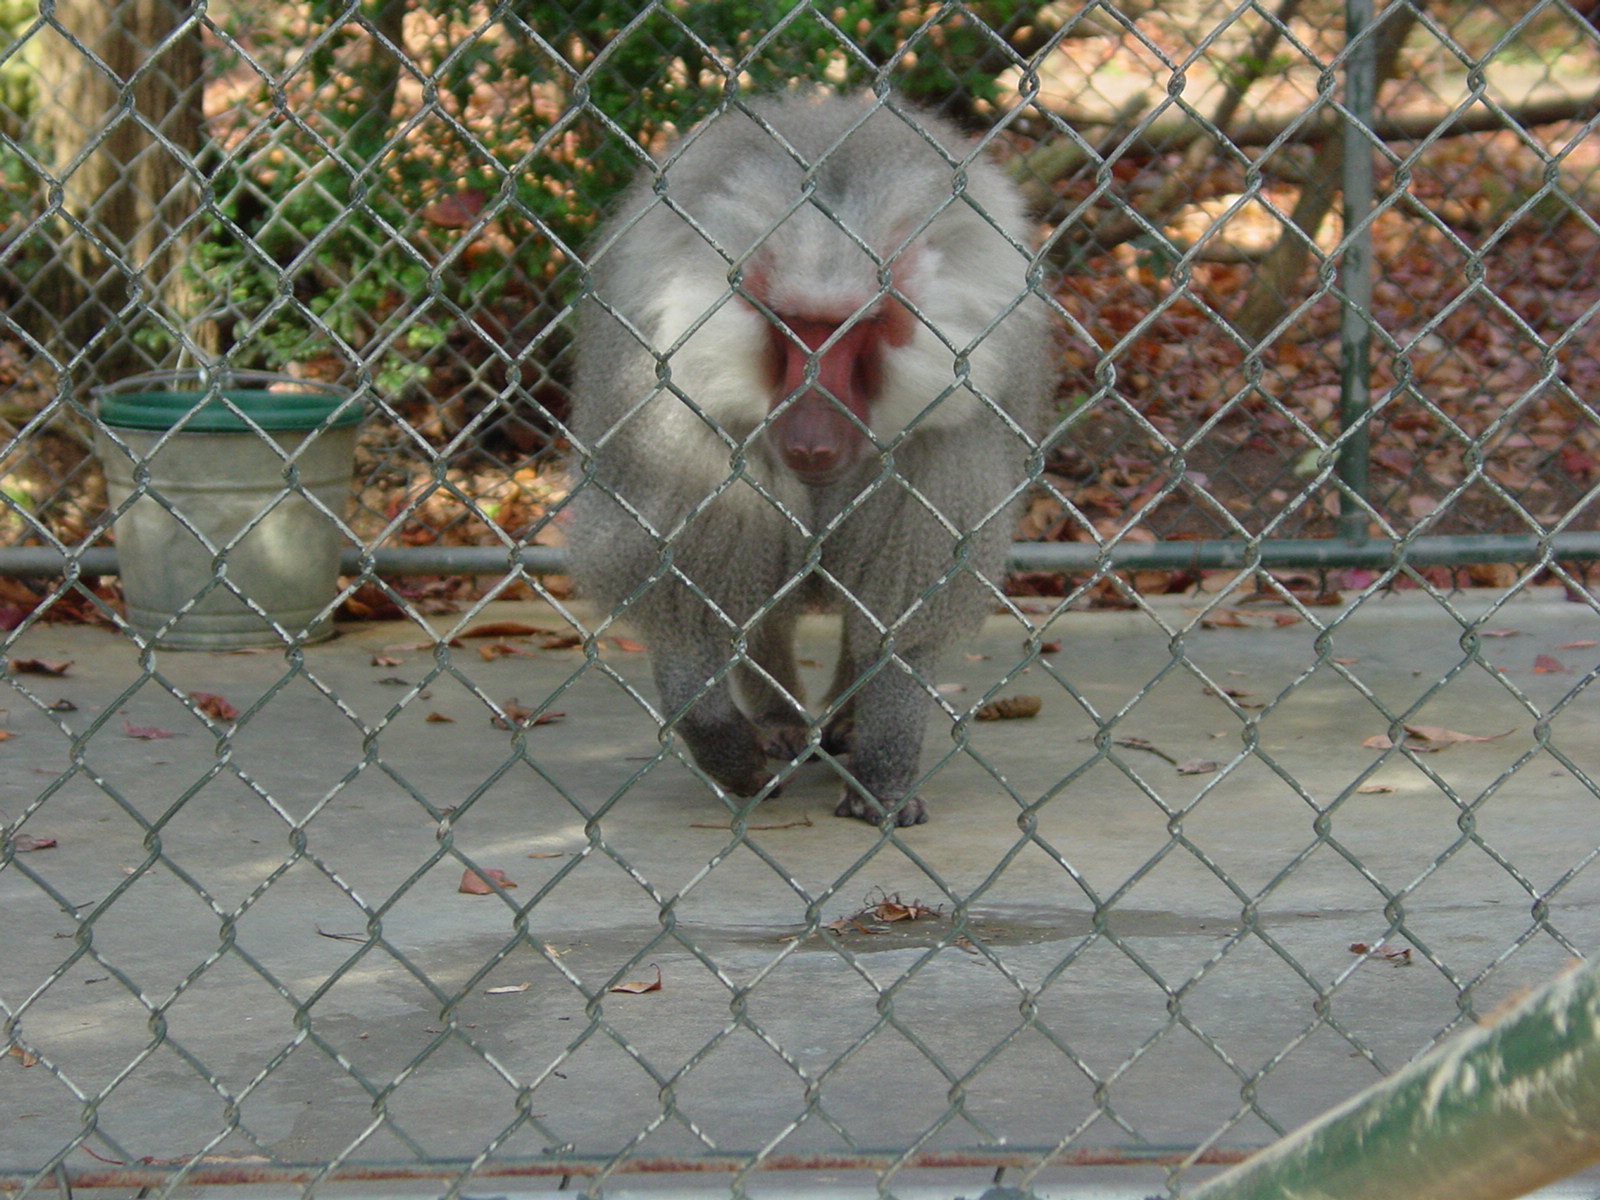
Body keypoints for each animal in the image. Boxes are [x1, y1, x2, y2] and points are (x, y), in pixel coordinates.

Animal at [568, 91, 1055, 826]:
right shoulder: (676, 427)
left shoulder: (942, 447)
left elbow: (903, 615)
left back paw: (848, 719)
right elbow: (682, 589)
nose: (811, 441)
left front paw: (885, 770)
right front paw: (726, 747)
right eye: (795, 326)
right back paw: (777, 721)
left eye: (859, 328)